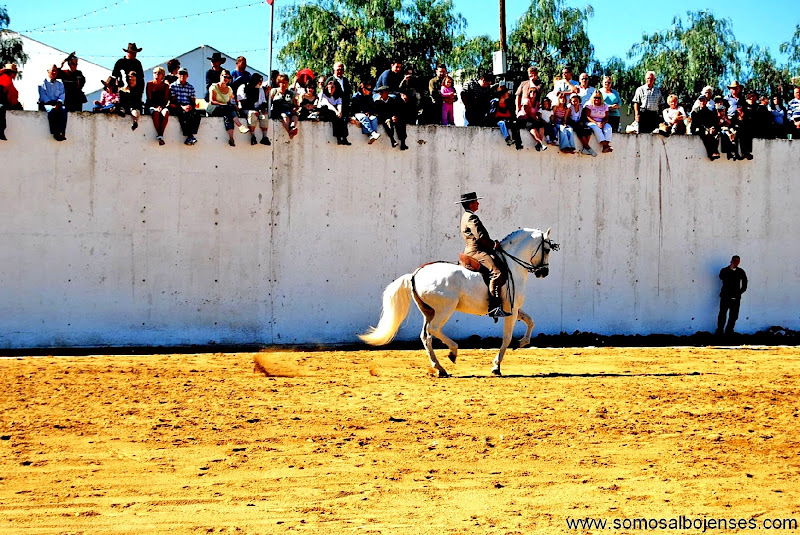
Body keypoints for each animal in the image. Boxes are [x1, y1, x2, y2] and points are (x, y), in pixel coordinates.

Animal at [359, 227, 558, 377]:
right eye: (547, 250)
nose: (544, 272)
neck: (511, 266)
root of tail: (415, 274)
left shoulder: (515, 308)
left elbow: (530, 321)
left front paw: (522, 342)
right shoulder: (512, 309)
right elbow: (507, 337)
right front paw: (496, 366)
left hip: (428, 311)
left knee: (426, 336)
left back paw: (440, 368)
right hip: (444, 309)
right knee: (434, 330)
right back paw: (452, 352)